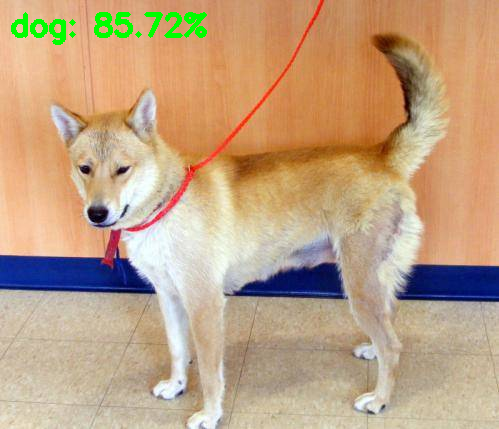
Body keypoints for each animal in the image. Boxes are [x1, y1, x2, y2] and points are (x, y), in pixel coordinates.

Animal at [51, 34, 447, 429]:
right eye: (85, 168)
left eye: (123, 169)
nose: (97, 213)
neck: (166, 204)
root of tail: (382, 157)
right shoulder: (169, 297)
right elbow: (178, 350)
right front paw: (177, 384)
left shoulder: (205, 305)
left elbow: (210, 373)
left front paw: (210, 413)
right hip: (375, 279)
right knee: (389, 319)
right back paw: (371, 350)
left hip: (359, 282)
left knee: (393, 345)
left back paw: (380, 398)